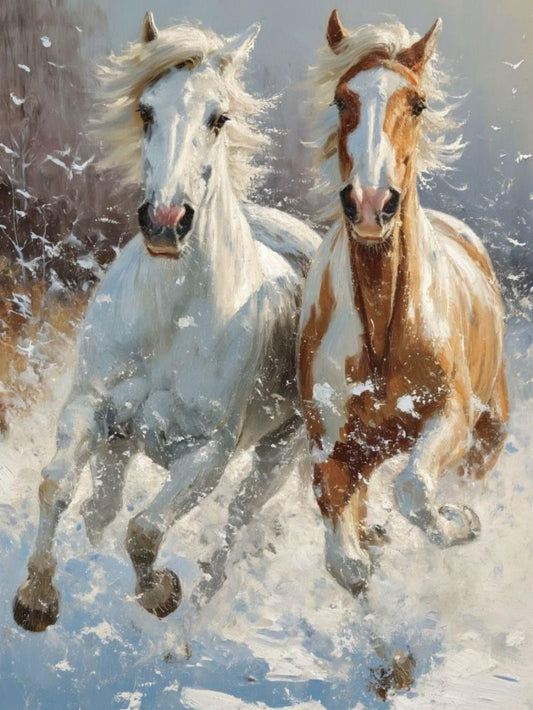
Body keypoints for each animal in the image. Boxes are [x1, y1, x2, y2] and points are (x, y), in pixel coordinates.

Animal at [14, 12, 320, 632]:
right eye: (146, 110)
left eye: (218, 117)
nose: (165, 222)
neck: (172, 320)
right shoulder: (91, 409)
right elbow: (57, 487)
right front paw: (36, 598)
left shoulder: (206, 454)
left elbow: (145, 531)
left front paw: (159, 593)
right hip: (119, 443)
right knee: (99, 509)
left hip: (275, 457)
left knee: (228, 542)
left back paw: (182, 635)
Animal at [298, 10, 508, 695]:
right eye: (342, 100)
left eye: (416, 103)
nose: (370, 206)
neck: (385, 334)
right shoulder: (331, 456)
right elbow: (349, 567)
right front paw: (392, 665)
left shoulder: (452, 418)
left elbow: (418, 494)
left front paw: (459, 525)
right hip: (366, 461)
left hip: (488, 436)